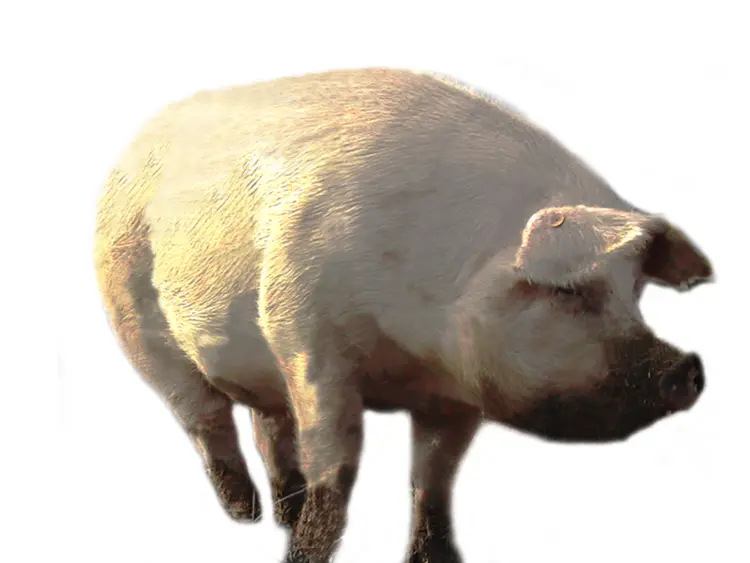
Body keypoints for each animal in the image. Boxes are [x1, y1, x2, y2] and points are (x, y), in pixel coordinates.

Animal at [93, 67, 713, 563]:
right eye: (568, 292)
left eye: (635, 290)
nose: (688, 368)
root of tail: (134, 145)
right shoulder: (306, 337)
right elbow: (337, 461)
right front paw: (303, 556)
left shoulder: (453, 397)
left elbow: (434, 479)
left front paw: (435, 558)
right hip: (133, 316)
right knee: (204, 418)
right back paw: (245, 515)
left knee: (267, 424)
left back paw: (282, 513)